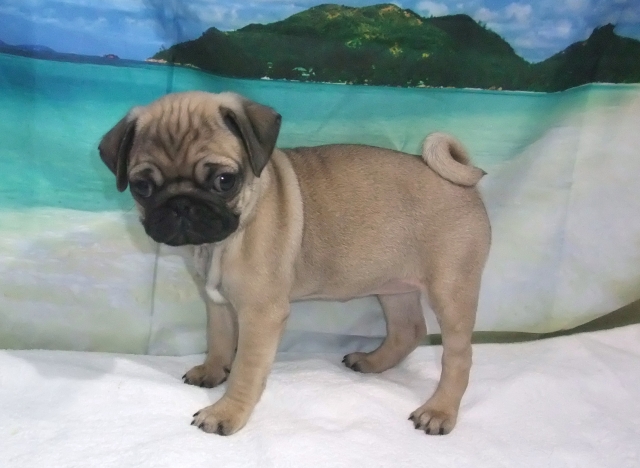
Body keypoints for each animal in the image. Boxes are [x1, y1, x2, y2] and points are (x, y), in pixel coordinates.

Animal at [98, 91, 491, 436]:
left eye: (224, 181)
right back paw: (372, 362)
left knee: (459, 357)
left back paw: (439, 410)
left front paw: (226, 412)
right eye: (141, 187)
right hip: (394, 287)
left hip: (451, 290)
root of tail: (462, 178)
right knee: (408, 329)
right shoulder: (217, 303)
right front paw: (212, 371)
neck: (221, 243)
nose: (181, 204)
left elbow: (246, 369)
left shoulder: (260, 315)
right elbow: (220, 340)